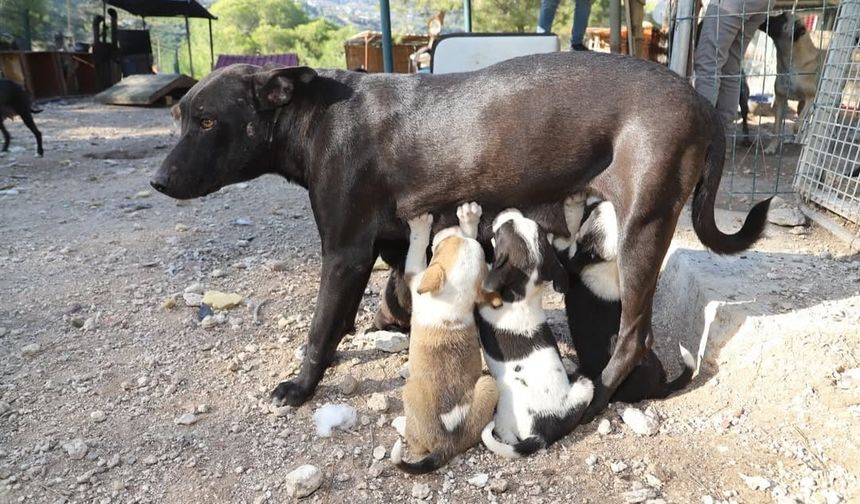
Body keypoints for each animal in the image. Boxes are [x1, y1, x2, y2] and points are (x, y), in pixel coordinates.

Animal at [390, 203, 498, 474]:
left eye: (440, 247)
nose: (447, 228)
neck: (453, 297)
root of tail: (447, 441)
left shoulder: (415, 274)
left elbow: (416, 248)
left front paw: (420, 225)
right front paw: (470, 219)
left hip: (410, 391)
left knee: (416, 444)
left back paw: (400, 424)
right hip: (487, 384)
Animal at [478, 207, 592, 458]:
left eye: (502, 230)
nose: (509, 209)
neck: (522, 297)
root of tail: (541, 436)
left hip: (505, 406)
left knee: (506, 436)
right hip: (586, 386)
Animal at [760, 11, 828, 154]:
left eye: (782, 17)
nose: (763, 17)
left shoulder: (811, 98)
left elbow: (798, 124)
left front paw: (801, 135)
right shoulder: (781, 99)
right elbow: (776, 128)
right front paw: (772, 147)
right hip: (800, 105)